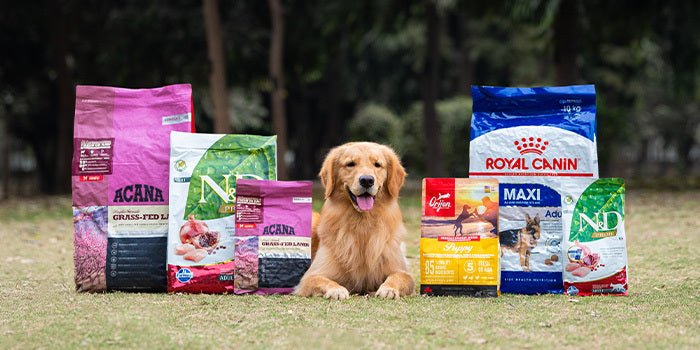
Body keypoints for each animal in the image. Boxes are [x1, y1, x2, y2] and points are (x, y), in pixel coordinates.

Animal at [296, 141, 416, 300]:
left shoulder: (402, 270)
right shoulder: (310, 277)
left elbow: (398, 277)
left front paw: (388, 288)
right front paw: (337, 290)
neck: (362, 223)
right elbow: (324, 280)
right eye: (350, 164)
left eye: (377, 164)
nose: (367, 180)